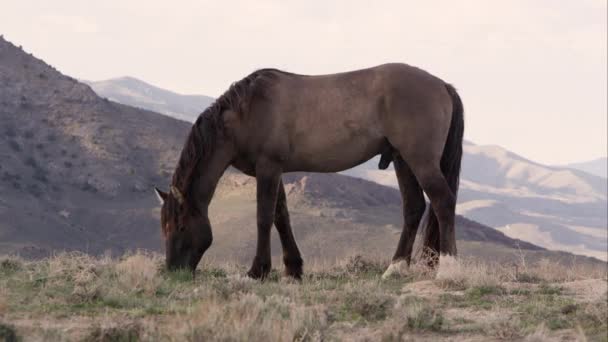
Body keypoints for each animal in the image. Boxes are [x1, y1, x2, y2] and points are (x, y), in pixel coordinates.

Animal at [154, 62, 464, 280]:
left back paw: (448, 268)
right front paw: (293, 269)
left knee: (443, 201)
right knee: (413, 207)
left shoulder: (268, 168)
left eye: (180, 226)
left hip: (420, 160)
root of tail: (442, 85)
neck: (247, 111)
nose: (173, 271)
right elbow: (281, 217)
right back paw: (395, 268)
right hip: (402, 159)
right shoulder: (272, 170)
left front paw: (257, 271)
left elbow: (263, 217)